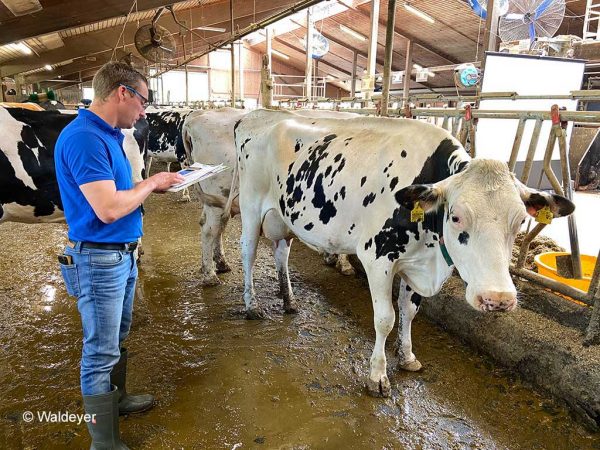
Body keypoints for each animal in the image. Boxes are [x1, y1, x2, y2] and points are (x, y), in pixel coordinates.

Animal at [232, 109, 576, 398]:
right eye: (456, 216)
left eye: (519, 221)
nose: (498, 299)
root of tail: (256, 114)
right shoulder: (377, 258)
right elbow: (385, 318)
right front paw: (377, 376)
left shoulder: (416, 262)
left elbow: (409, 312)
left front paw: (407, 356)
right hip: (250, 207)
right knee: (248, 254)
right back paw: (252, 306)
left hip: (283, 216)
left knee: (281, 253)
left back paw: (288, 300)